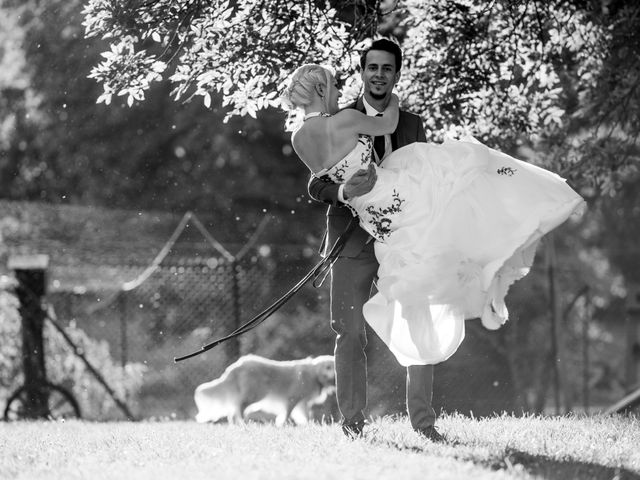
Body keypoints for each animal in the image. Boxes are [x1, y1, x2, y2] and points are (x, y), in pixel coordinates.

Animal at [194, 352, 336, 424]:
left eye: (333, 366)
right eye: (328, 367)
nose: (334, 373)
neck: (314, 375)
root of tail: (237, 365)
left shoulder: (303, 402)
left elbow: (305, 416)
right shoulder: (292, 398)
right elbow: (287, 413)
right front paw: (283, 424)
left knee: (233, 410)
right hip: (257, 393)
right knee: (238, 407)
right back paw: (243, 423)